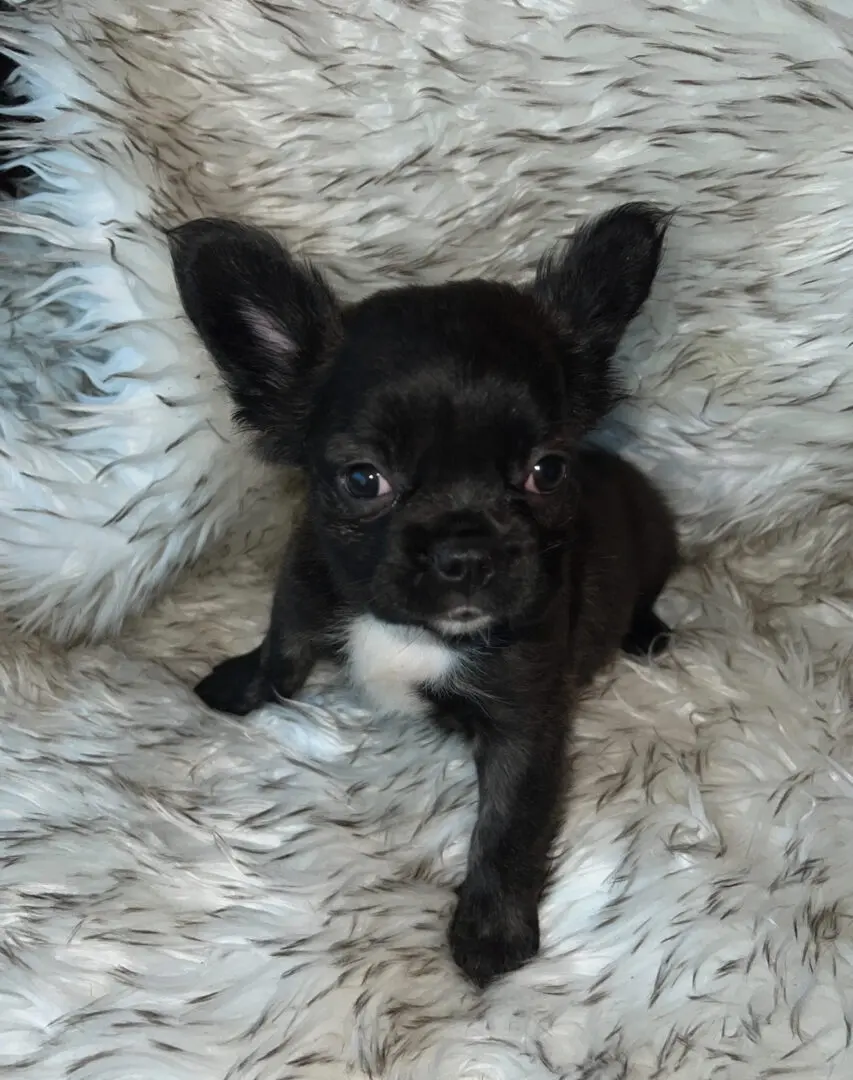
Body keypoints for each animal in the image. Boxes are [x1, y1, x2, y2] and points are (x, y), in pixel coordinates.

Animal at [168, 203, 682, 989]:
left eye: (548, 471)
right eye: (362, 480)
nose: (464, 551)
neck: (412, 631)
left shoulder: (526, 722)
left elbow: (507, 826)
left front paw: (492, 930)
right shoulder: (306, 580)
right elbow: (284, 644)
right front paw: (244, 683)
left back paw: (647, 633)